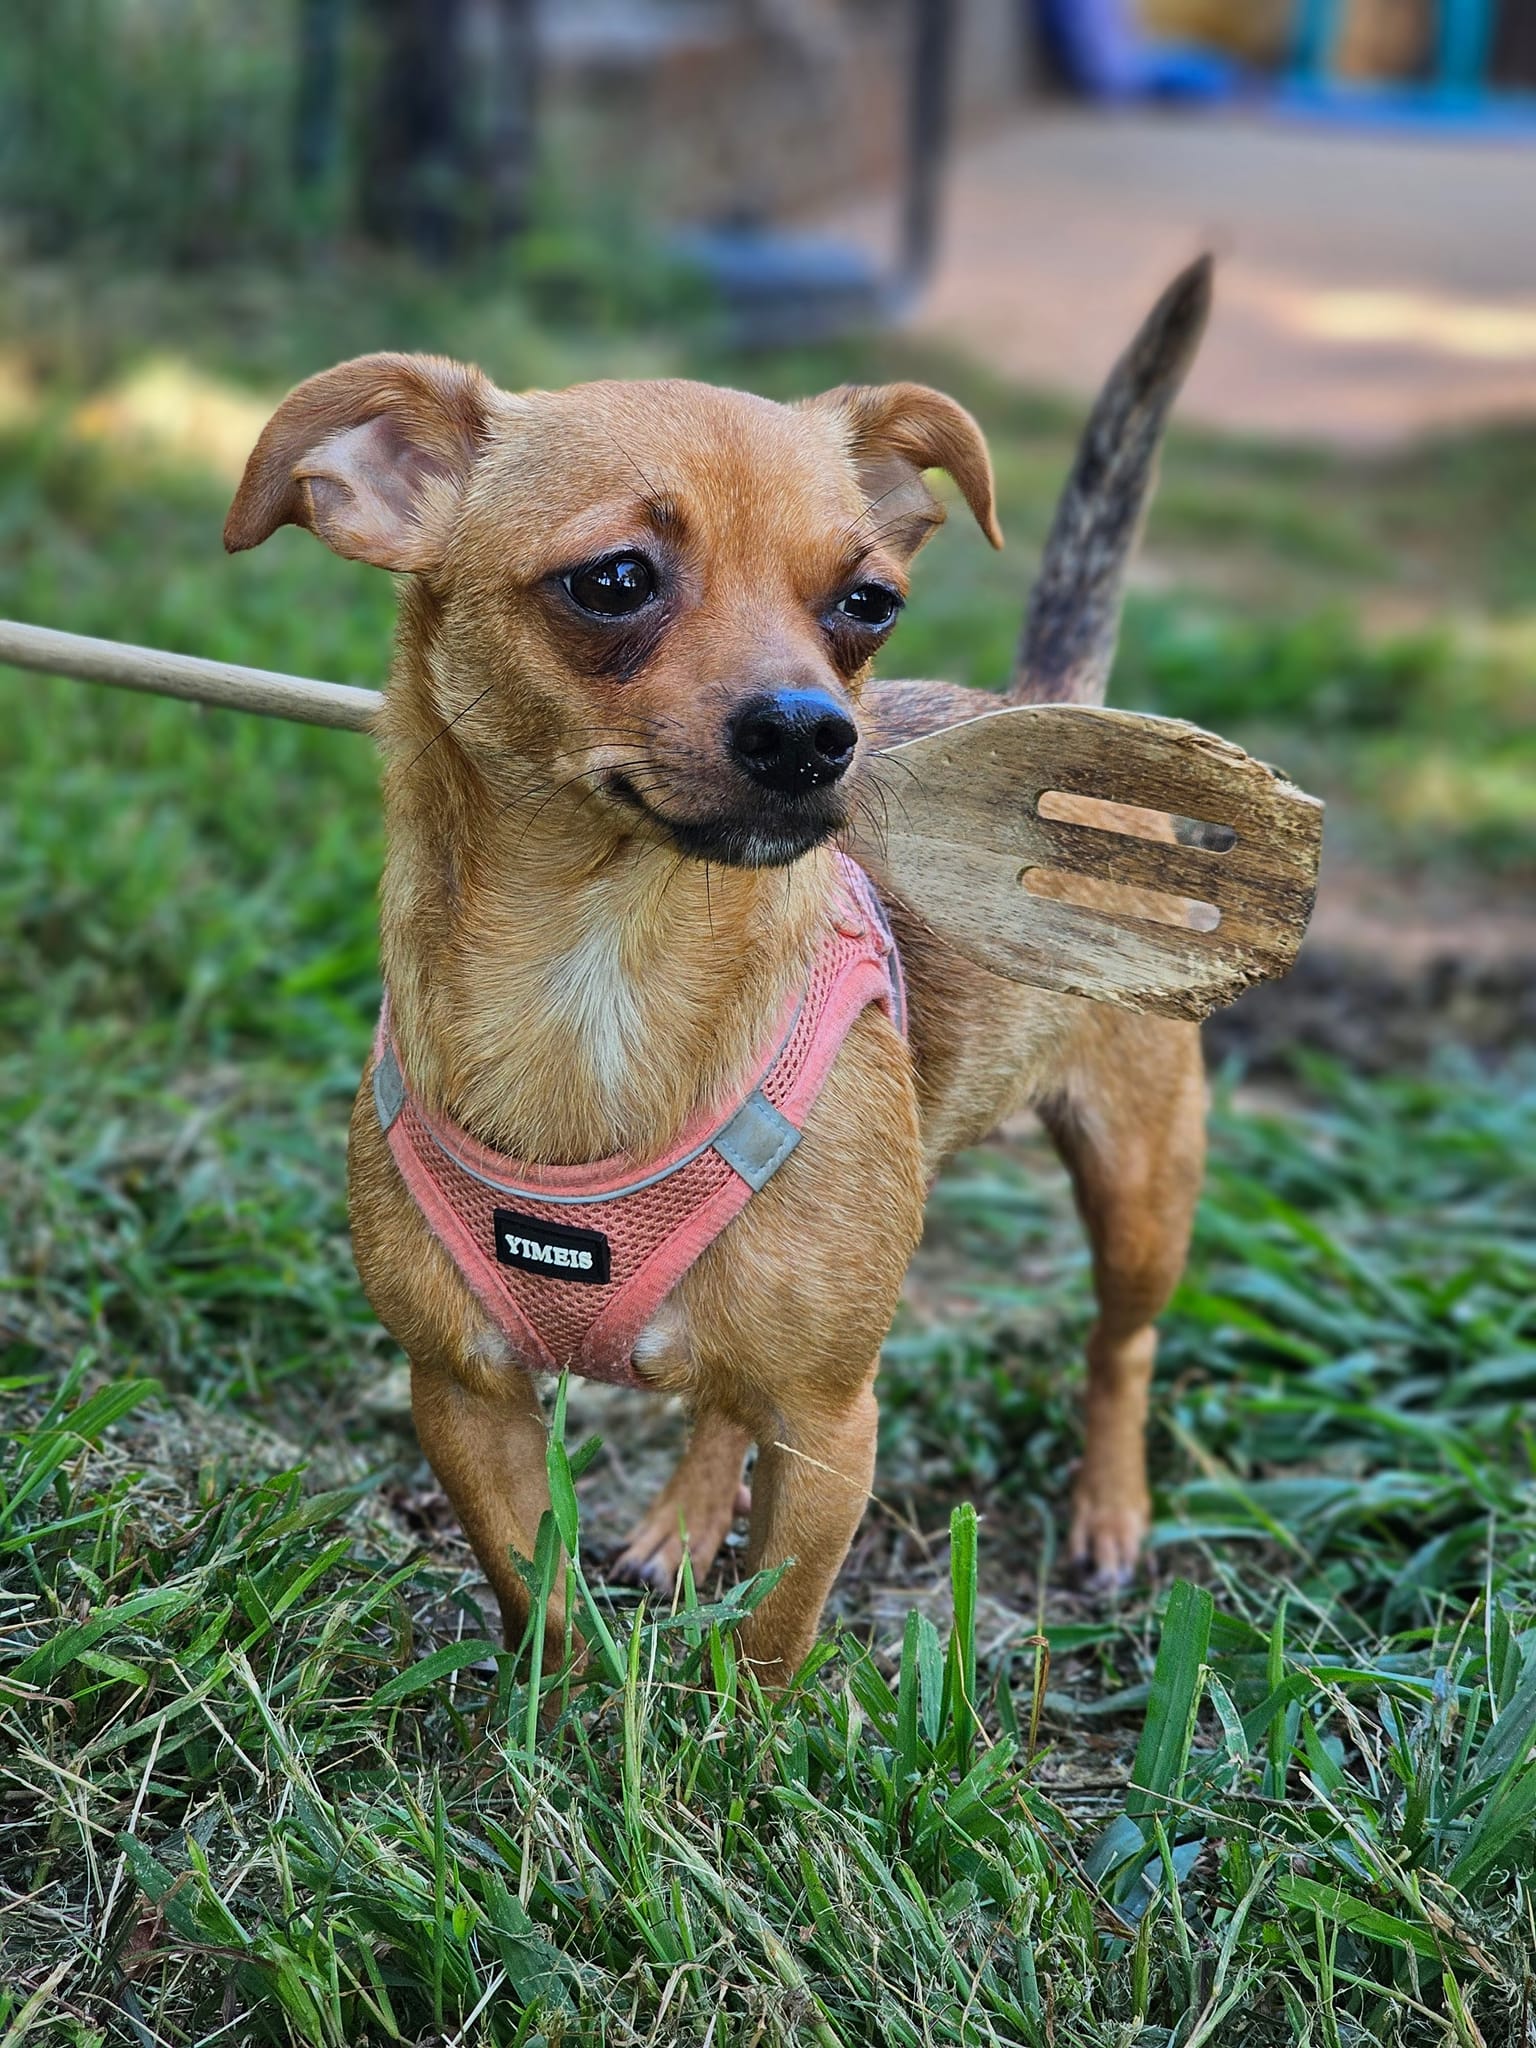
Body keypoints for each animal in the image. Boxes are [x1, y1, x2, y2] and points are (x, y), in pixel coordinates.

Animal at [225, 264, 1212, 1687]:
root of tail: (1047, 703)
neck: (601, 965)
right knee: (720, 1405)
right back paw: (686, 1521)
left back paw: (1113, 1507)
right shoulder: (462, 1395)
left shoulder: (833, 1421)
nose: (813, 731)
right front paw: (557, 1719)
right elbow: (537, 1594)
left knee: (1118, 1343)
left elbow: (773, 1635)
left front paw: (739, 1733)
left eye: (869, 603)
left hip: (1140, 1180)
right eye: (613, 579)